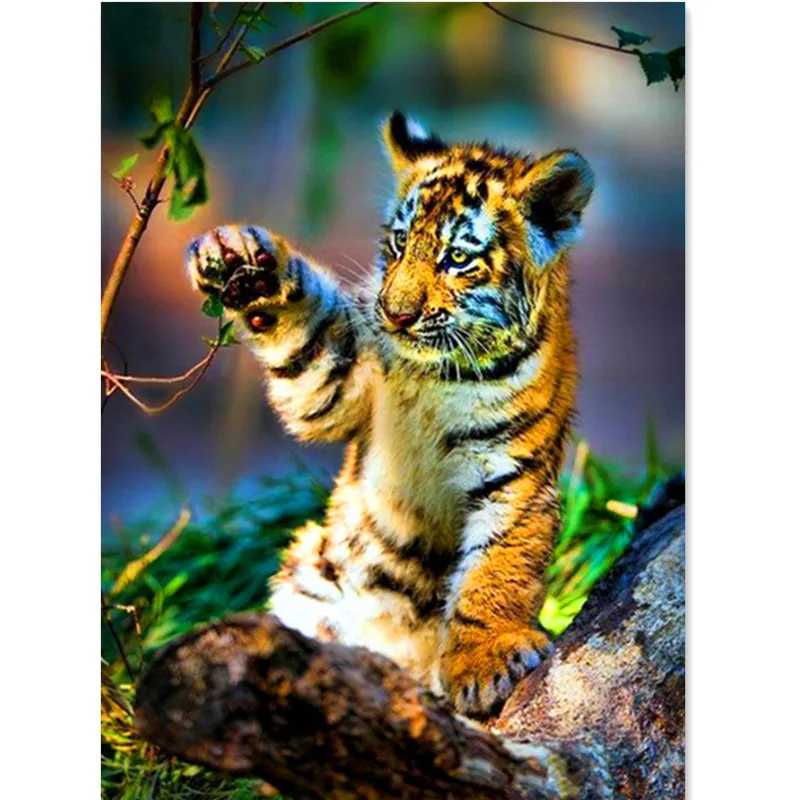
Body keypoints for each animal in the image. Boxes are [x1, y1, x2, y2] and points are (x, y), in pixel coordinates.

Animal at [184, 112, 594, 717]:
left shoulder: (513, 473)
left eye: (457, 258)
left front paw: (483, 662)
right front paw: (241, 261)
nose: (397, 315)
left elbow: (496, 569)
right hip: (312, 573)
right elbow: (307, 341)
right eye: (400, 242)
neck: (438, 373)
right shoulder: (340, 385)